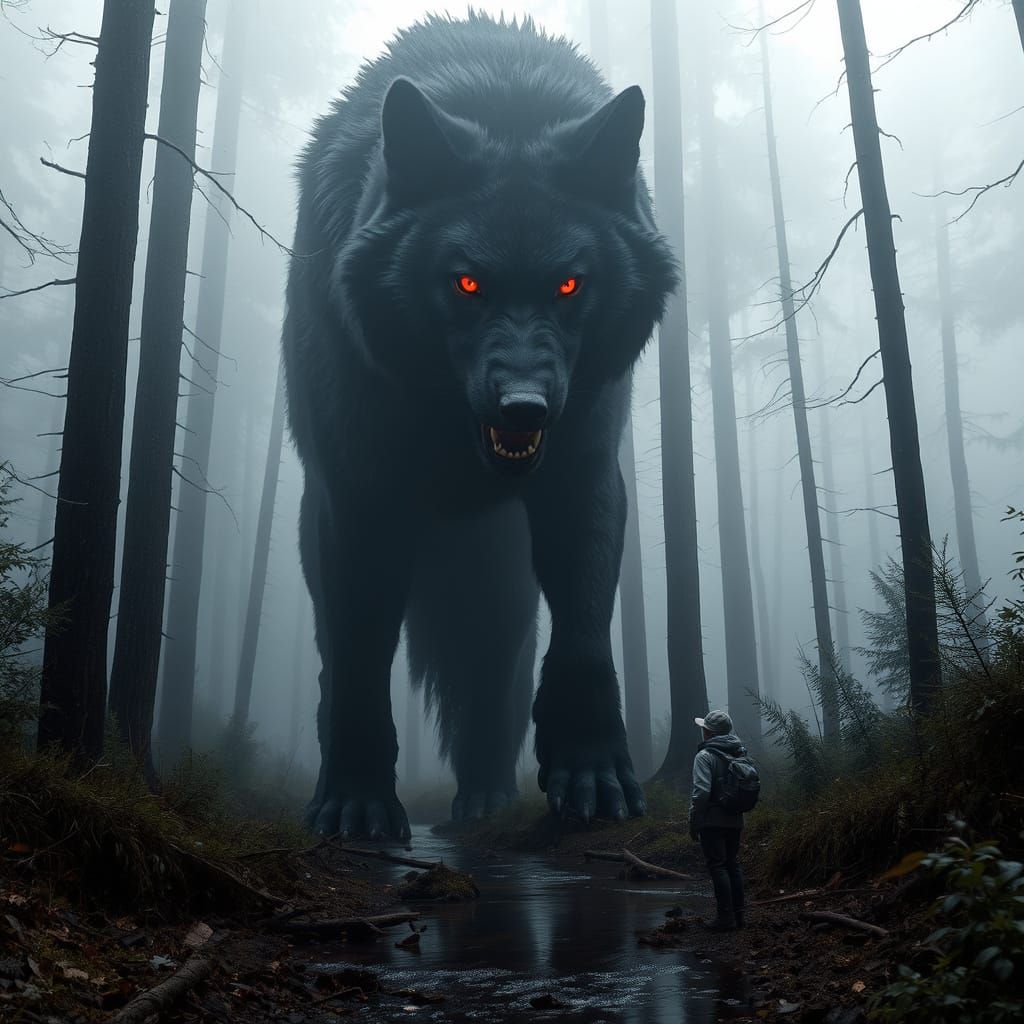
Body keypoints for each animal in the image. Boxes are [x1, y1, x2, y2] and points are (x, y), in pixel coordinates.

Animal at [283, 13, 677, 839]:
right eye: (467, 282)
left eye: (570, 284)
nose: (523, 407)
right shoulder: (358, 497)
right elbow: (360, 653)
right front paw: (356, 802)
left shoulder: (585, 471)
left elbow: (584, 630)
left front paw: (592, 771)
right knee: (340, 656)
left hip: (502, 568)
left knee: (500, 664)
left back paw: (489, 799)